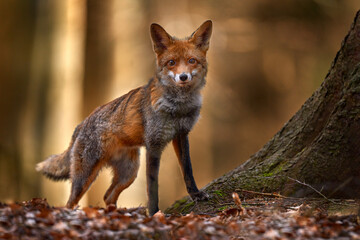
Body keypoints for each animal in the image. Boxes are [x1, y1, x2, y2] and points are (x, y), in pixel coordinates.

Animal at [35, 20, 211, 216]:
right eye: (171, 63)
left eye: (192, 61)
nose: (183, 77)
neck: (178, 107)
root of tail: (81, 124)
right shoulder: (154, 144)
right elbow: (152, 186)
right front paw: (154, 213)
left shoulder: (181, 135)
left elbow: (188, 170)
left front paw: (195, 194)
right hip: (86, 177)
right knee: (70, 202)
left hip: (129, 173)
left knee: (107, 196)